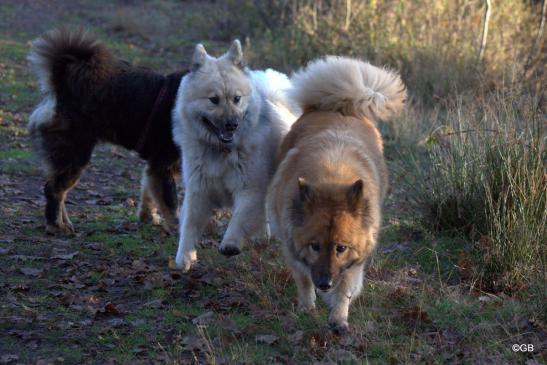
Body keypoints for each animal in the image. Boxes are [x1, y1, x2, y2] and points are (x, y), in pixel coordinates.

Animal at [27, 28, 186, 233]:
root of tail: (62, 85)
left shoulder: (158, 167)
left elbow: (149, 195)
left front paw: (148, 218)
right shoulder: (162, 165)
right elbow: (171, 203)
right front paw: (177, 229)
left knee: (58, 188)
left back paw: (65, 222)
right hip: (75, 156)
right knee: (54, 190)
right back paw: (56, 225)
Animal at [266, 55, 406, 332]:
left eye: (341, 248)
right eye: (315, 245)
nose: (324, 283)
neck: (331, 179)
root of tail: (341, 106)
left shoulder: (354, 260)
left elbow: (345, 288)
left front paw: (338, 317)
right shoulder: (292, 247)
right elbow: (303, 280)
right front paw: (307, 308)